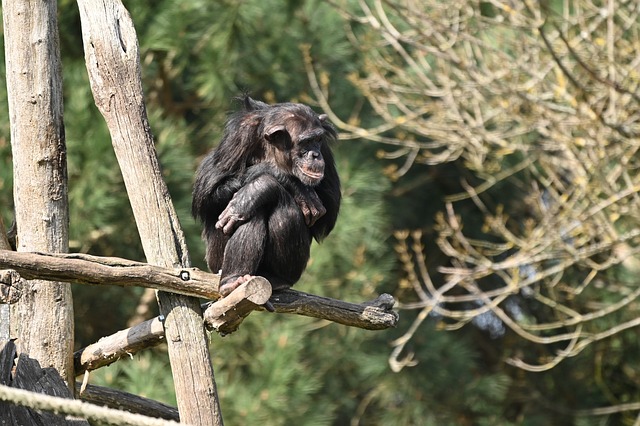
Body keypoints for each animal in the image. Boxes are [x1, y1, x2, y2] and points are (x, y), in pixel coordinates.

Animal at [191, 96, 340, 296]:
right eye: (305, 142)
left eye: (317, 139)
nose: (315, 154)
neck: (273, 147)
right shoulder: (238, 136)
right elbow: (205, 195)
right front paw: (277, 177)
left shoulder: (325, 147)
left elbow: (328, 211)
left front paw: (256, 191)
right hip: (214, 262)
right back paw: (232, 280)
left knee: (282, 208)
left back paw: (277, 278)